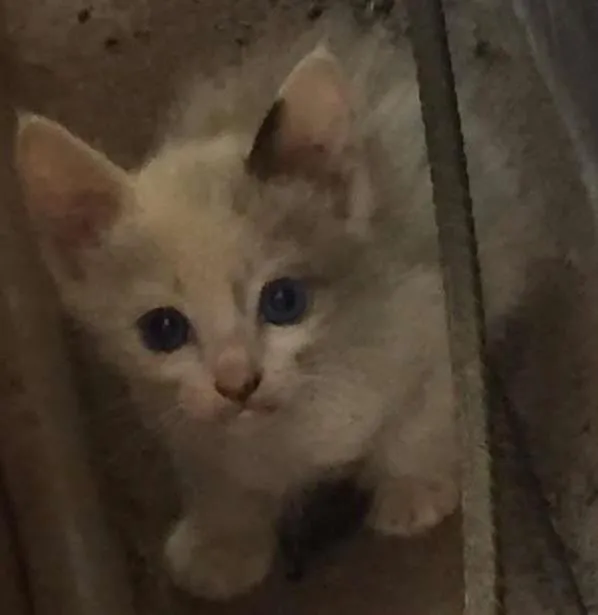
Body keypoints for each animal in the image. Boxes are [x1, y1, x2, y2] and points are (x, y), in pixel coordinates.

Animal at [15, 9, 553, 601]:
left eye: (284, 301)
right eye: (163, 329)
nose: (237, 383)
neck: (290, 430)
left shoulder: (433, 308)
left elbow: (425, 417)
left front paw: (414, 489)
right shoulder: (178, 417)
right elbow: (216, 474)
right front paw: (225, 543)